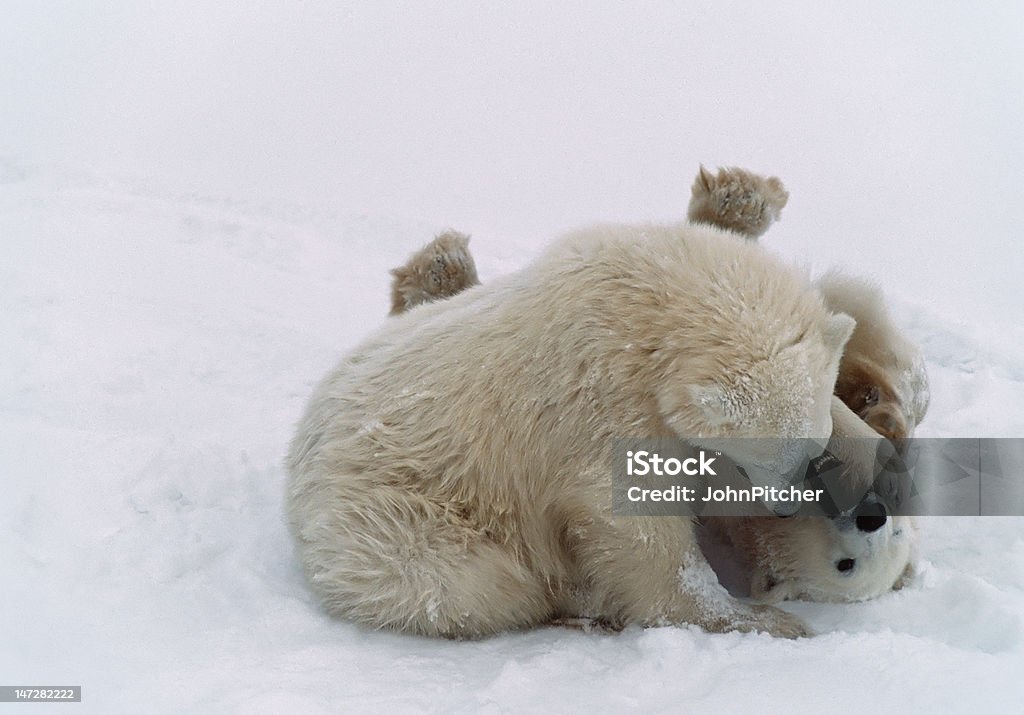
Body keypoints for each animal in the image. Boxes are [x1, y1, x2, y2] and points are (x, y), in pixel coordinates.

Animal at [284, 218, 851, 635]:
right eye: (773, 455)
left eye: (812, 450)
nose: (784, 507)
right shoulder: (602, 400)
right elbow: (635, 520)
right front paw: (763, 619)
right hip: (390, 508)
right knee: (464, 579)